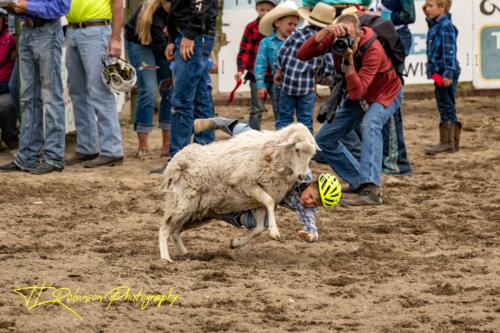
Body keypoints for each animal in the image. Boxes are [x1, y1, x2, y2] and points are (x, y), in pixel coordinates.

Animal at [158, 123, 318, 260]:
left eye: (312, 155)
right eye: (296, 149)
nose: (302, 176)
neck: (272, 156)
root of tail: (174, 163)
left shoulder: (258, 202)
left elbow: (259, 228)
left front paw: (236, 242)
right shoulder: (248, 184)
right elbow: (270, 202)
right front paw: (274, 231)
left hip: (197, 214)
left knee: (175, 232)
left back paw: (186, 253)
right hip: (182, 204)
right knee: (164, 229)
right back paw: (166, 259)